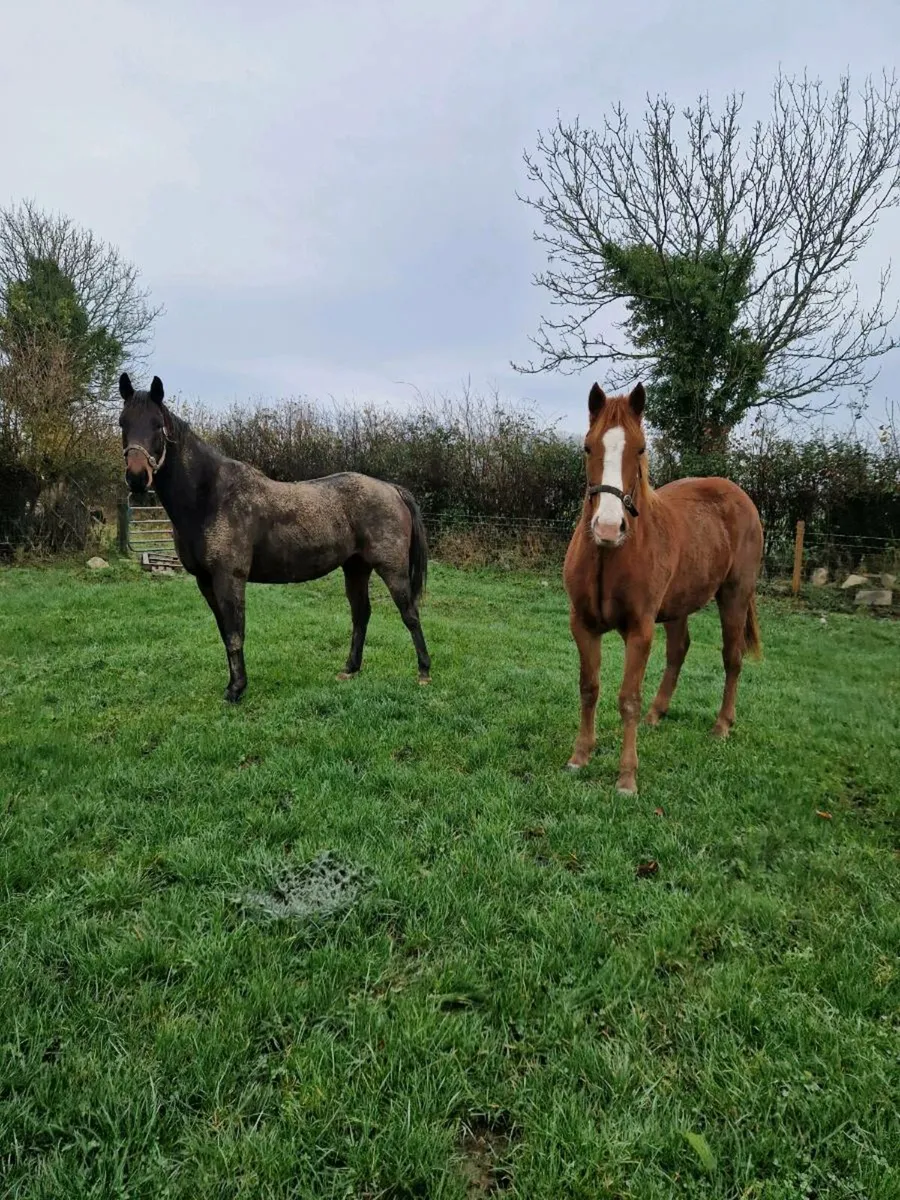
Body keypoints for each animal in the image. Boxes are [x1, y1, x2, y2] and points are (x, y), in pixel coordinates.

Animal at [118, 373, 431, 701]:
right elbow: (225, 632)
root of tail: (392, 489)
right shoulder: (205, 581)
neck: (210, 496)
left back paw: (423, 672)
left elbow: (235, 633)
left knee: (409, 613)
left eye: (157, 425)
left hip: (391, 568)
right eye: (122, 423)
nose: (137, 477)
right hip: (356, 567)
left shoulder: (229, 577)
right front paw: (234, 684)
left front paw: (236, 689)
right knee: (361, 614)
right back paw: (350, 669)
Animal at [563, 382, 763, 795]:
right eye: (588, 447)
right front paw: (580, 756)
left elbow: (628, 699)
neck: (609, 556)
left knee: (732, 657)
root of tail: (738, 494)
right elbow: (589, 688)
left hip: (734, 596)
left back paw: (722, 726)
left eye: (640, 449)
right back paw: (658, 712)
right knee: (679, 650)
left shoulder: (640, 631)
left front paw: (626, 777)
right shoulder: (583, 625)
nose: (609, 528)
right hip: (678, 605)